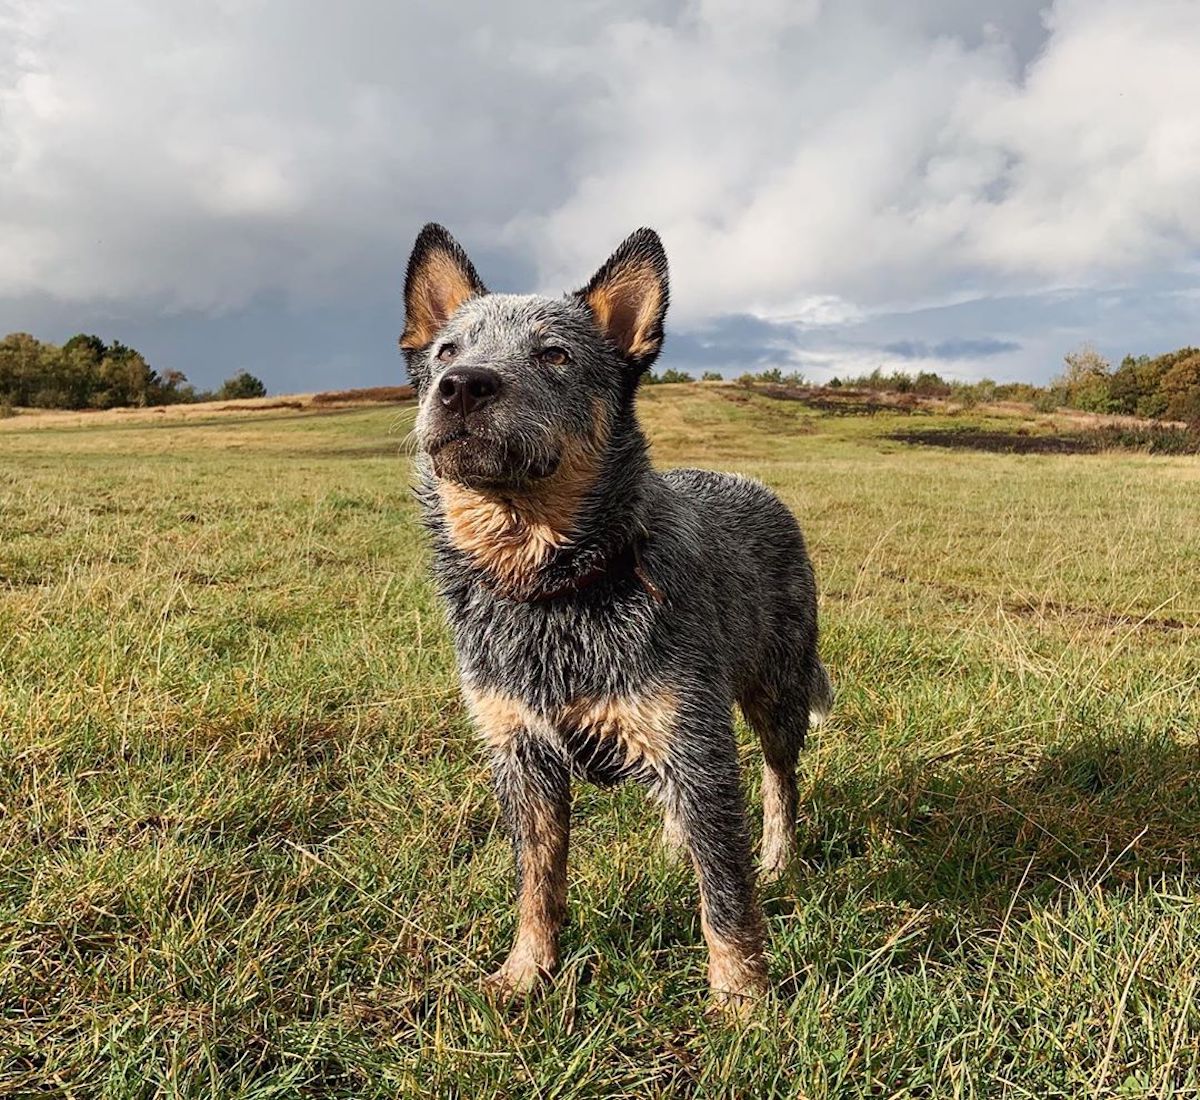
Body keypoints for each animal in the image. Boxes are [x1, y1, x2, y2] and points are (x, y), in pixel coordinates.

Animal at [398, 220, 830, 1002]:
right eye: (447, 350)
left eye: (554, 354)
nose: (463, 386)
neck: (552, 591)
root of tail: (757, 485)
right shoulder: (522, 753)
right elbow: (537, 884)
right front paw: (525, 973)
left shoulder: (694, 739)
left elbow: (727, 893)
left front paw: (742, 999)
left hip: (778, 692)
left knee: (779, 782)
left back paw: (780, 856)